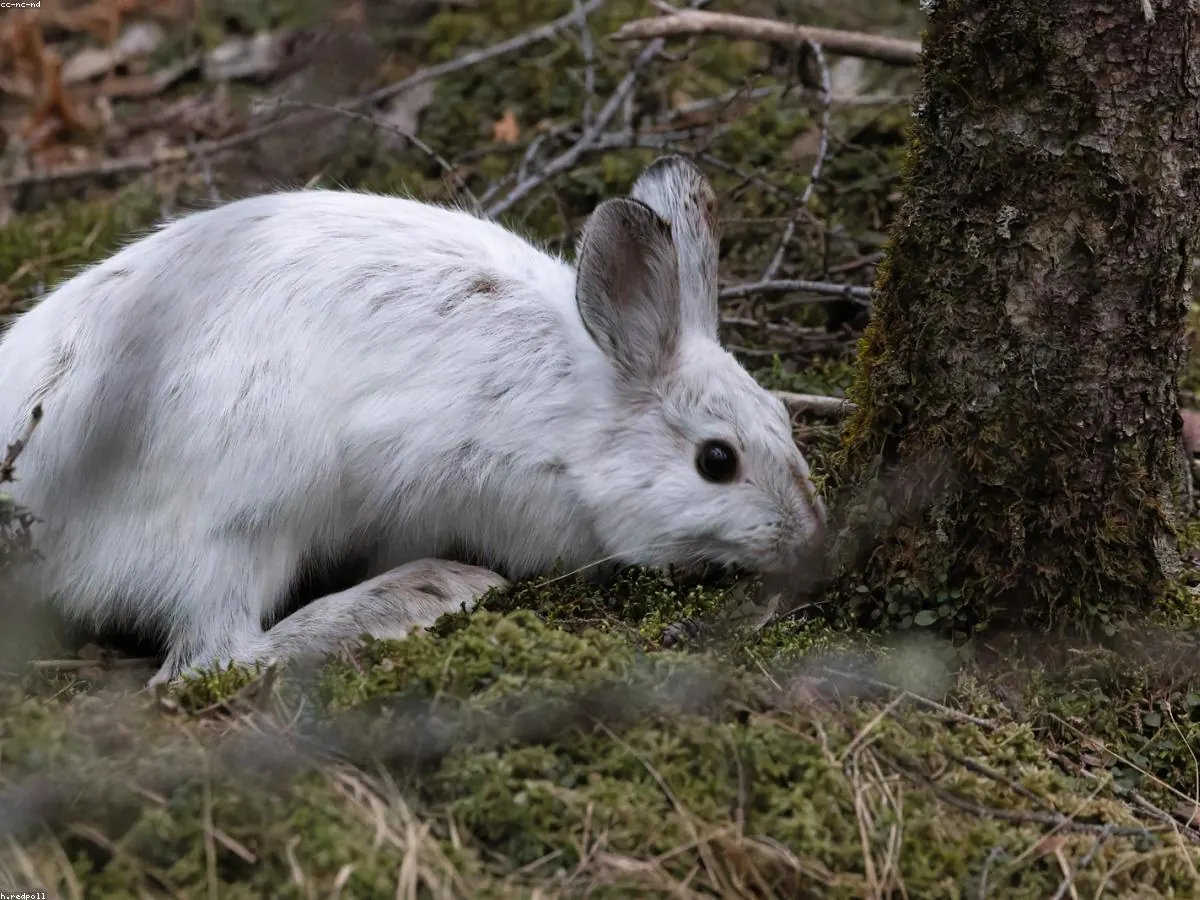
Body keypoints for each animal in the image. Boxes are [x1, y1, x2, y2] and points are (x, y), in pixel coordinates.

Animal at [0, 155, 827, 686]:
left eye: (782, 419)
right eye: (717, 461)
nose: (813, 538)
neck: (577, 419)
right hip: (245, 509)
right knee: (212, 658)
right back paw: (421, 594)